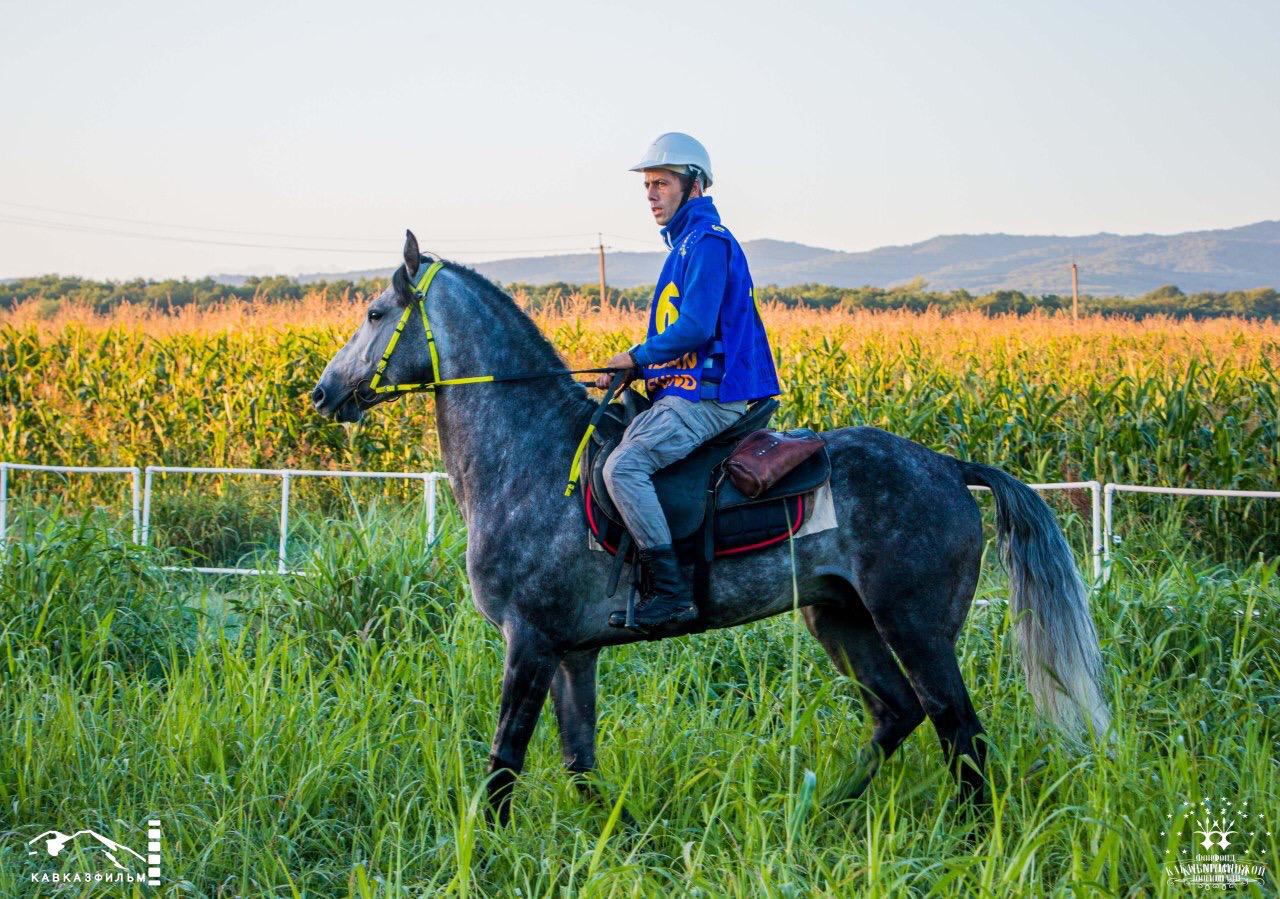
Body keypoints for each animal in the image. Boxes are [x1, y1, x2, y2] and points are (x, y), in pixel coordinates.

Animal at [312, 235, 1111, 829]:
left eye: (377, 312)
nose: (322, 393)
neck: (531, 453)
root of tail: (948, 465)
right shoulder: (573, 652)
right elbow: (580, 759)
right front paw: (619, 834)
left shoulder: (530, 641)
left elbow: (505, 760)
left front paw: (488, 847)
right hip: (840, 618)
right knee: (899, 711)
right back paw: (821, 810)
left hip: (915, 626)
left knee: (958, 729)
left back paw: (968, 832)